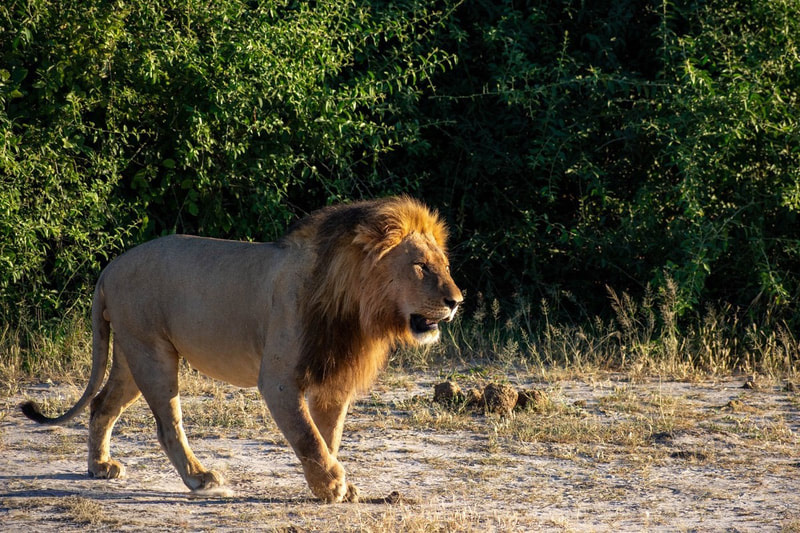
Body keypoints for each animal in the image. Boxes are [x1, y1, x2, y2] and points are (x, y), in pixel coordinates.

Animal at [21, 196, 462, 503]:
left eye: (444, 264)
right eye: (421, 266)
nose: (457, 300)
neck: (354, 308)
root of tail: (110, 267)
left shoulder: (333, 380)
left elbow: (328, 436)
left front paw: (329, 484)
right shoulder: (279, 380)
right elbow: (307, 436)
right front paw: (333, 485)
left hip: (132, 356)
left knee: (102, 405)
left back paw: (99, 467)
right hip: (153, 354)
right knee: (167, 425)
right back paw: (199, 478)